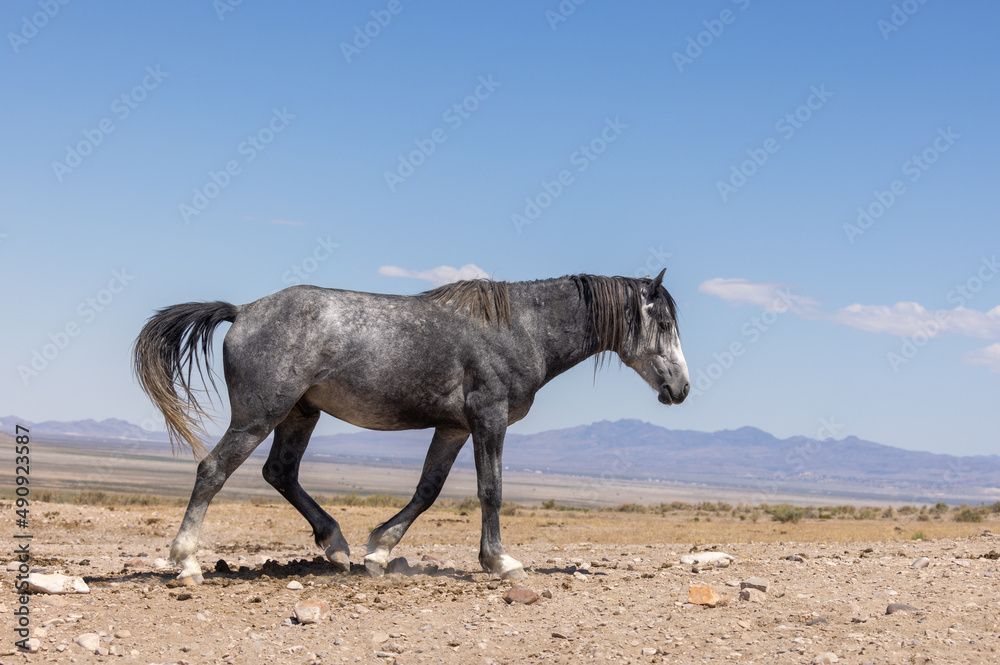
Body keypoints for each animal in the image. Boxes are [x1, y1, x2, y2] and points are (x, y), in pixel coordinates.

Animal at [132, 270, 689, 584]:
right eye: (663, 324)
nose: (681, 389)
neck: (521, 328)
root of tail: (242, 311)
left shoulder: (454, 428)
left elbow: (428, 490)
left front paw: (380, 551)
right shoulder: (488, 418)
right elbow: (491, 490)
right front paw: (500, 563)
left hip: (300, 413)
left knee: (280, 473)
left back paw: (337, 546)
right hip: (259, 415)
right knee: (212, 470)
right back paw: (186, 563)